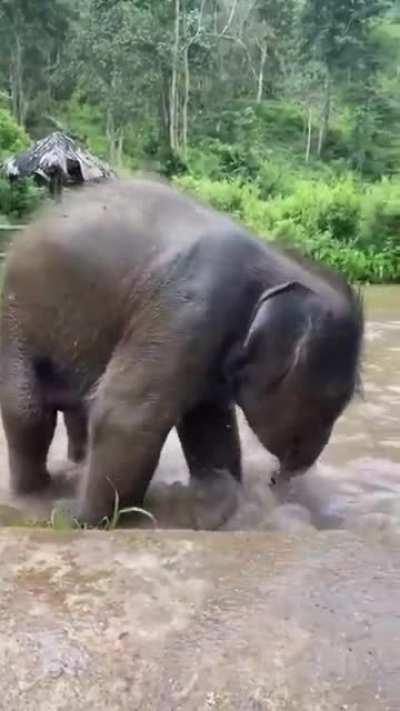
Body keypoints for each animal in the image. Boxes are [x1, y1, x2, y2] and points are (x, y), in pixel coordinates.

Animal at [0, 177, 363, 525]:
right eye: (330, 401)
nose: (279, 482)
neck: (276, 263)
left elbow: (208, 421)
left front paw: (216, 504)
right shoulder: (187, 310)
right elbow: (125, 414)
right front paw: (70, 518)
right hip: (15, 321)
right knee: (29, 412)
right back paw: (35, 496)